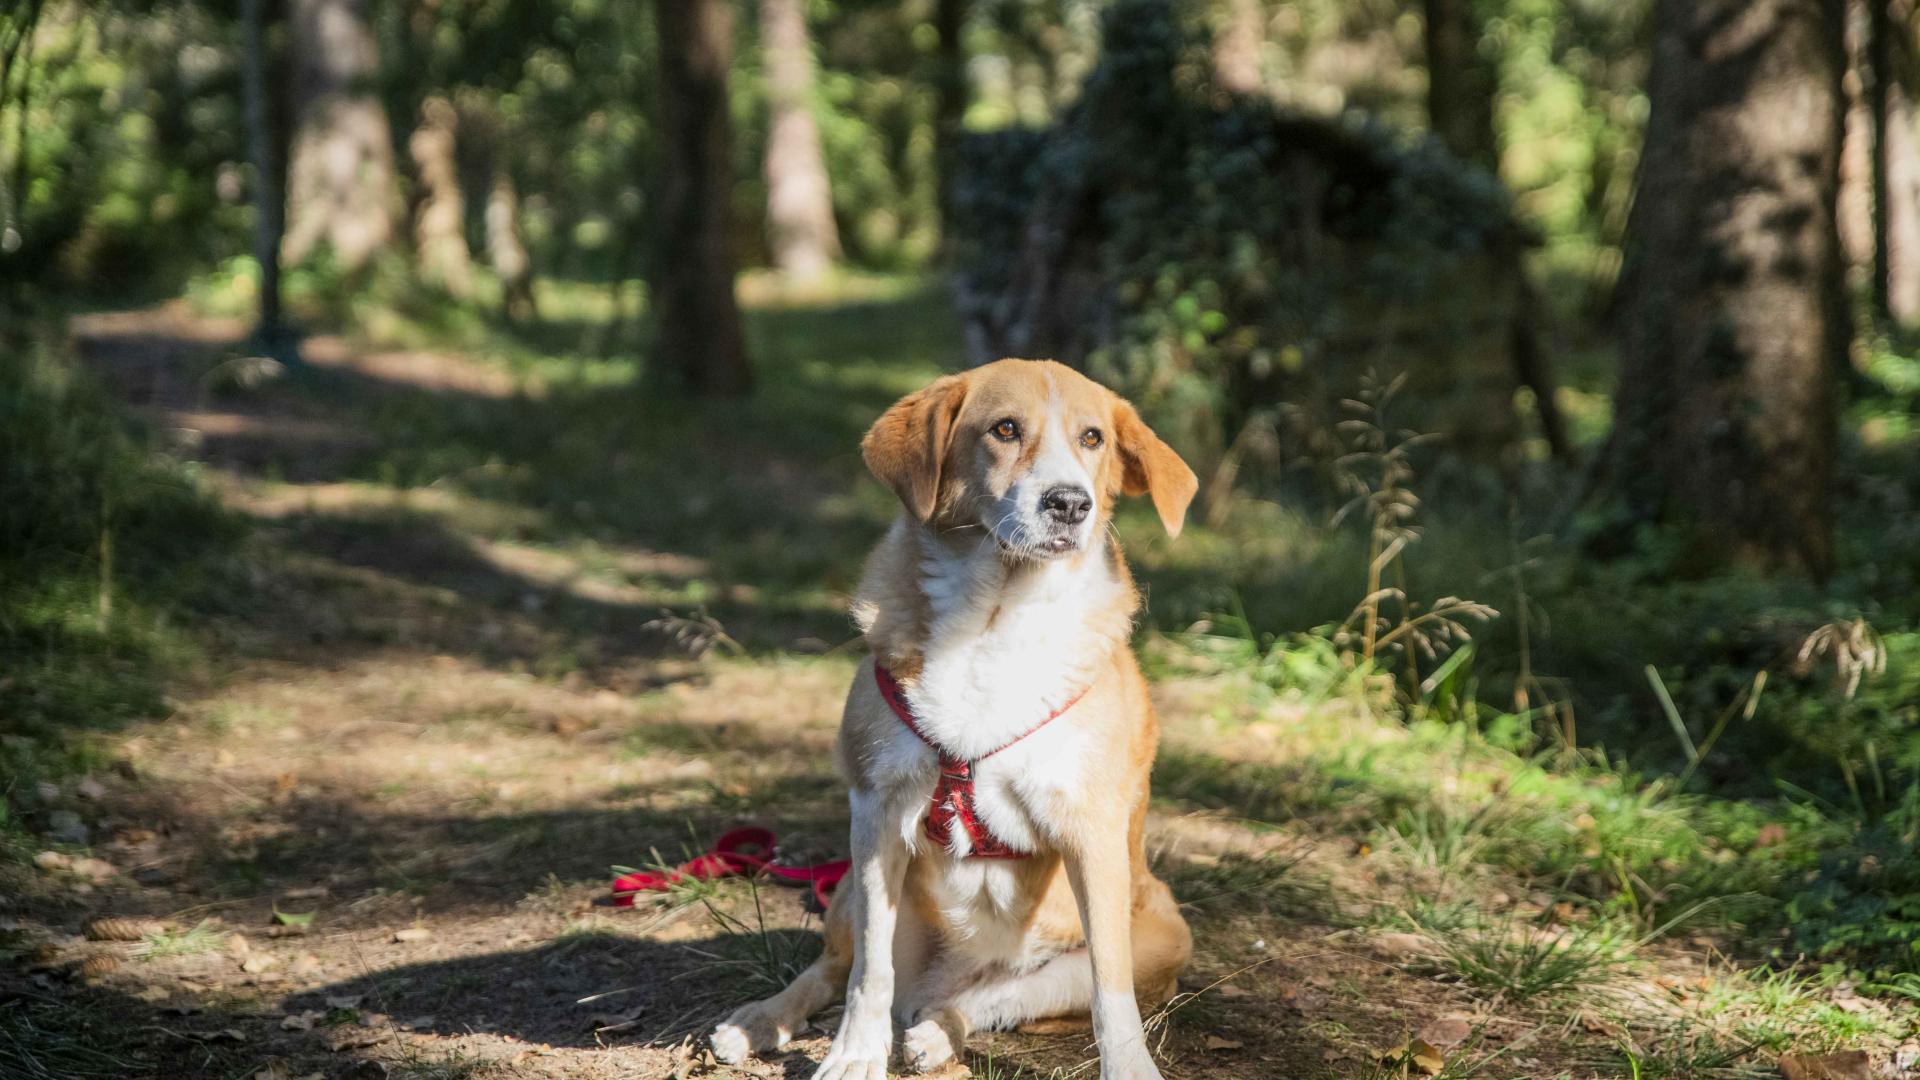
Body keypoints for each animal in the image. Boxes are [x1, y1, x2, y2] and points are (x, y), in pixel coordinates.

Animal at [718, 357, 1198, 1068]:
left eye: (1093, 439)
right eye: (1005, 429)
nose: (1070, 503)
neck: (995, 618)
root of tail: (947, 977)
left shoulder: (1092, 833)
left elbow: (1111, 995)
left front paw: (1132, 1070)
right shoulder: (876, 813)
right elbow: (868, 972)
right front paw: (853, 1057)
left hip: (1161, 931)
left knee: (1004, 995)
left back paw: (936, 1030)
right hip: (846, 890)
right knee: (836, 968)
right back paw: (760, 1020)